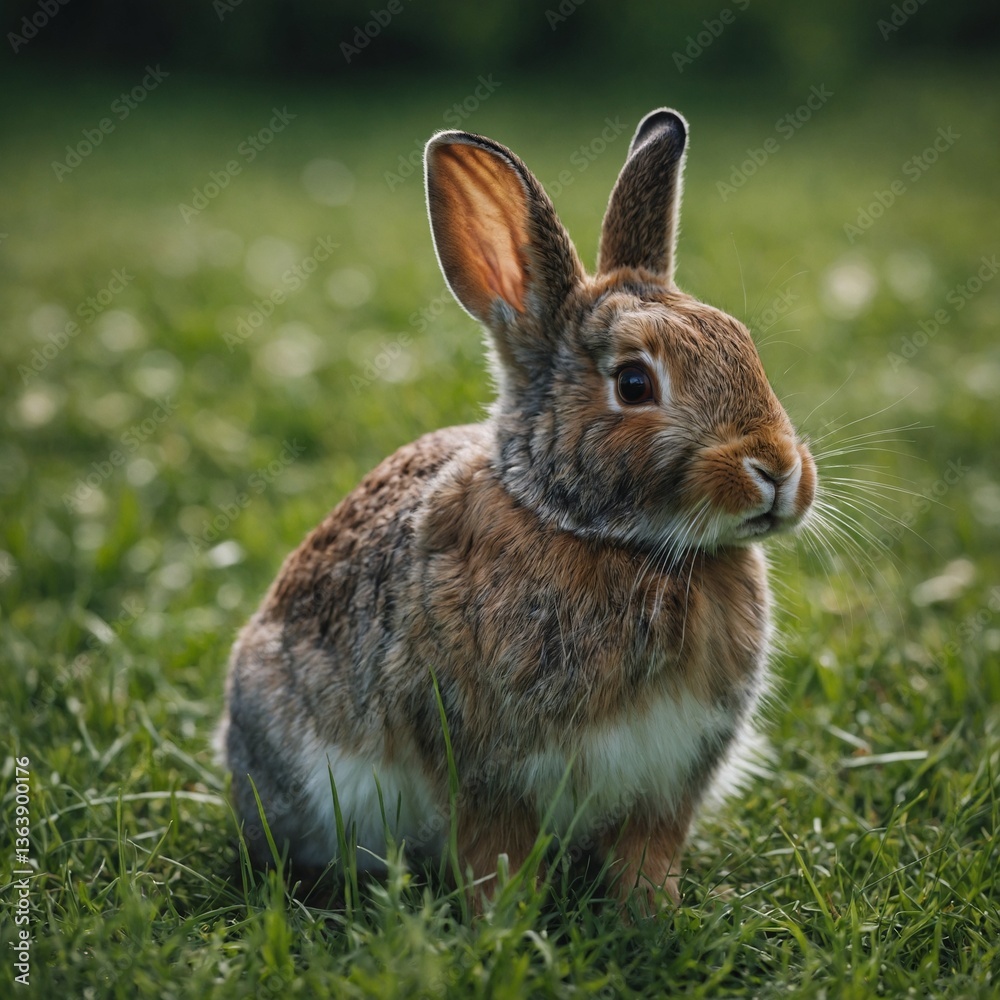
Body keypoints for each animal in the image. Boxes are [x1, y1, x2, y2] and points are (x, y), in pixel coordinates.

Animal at [216, 107, 817, 913]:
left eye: (744, 344)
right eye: (633, 383)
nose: (778, 471)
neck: (593, 531)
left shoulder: (668, 779)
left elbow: (648, 855)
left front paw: (652, 913)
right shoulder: (482, 766)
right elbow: (493, 853)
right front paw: (507, 921)